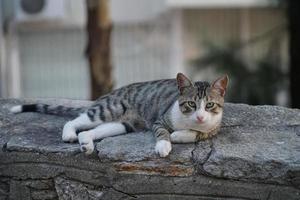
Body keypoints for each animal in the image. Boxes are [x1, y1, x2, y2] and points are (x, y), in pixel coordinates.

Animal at [10, 72, 229, 157]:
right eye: (191, 104)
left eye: (209, 105)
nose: (200, 116)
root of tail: (114, 92)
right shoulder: (159, 119)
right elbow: (162, 132)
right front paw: (164, 144)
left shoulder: (214, 127)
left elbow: (199, 134)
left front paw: (179, 135)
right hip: (110, 109)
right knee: (76, 120)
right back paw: (70, 134)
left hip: (123, 124)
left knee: (92, 131)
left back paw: (86, 143)